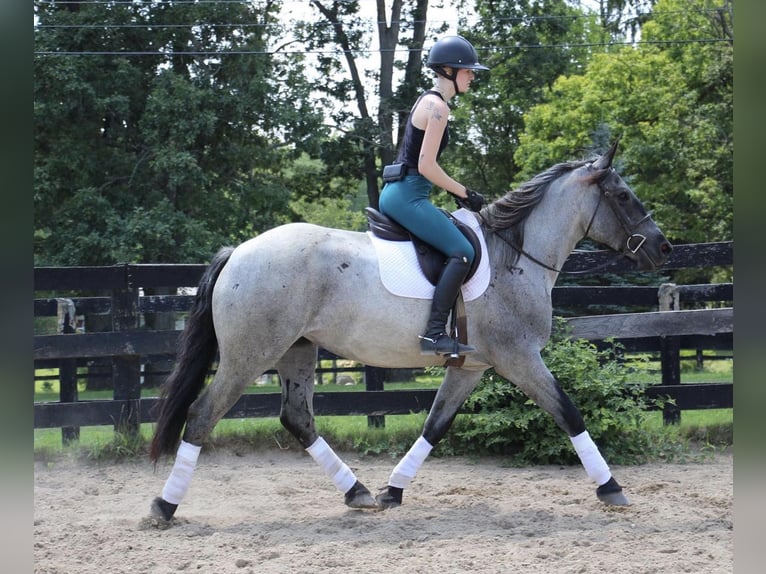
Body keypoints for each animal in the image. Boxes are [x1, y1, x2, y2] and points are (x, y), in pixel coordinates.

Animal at [148, 141, 672, 528]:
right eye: (623, 196)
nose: (664, 248)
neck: (515, 257)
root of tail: (238, 251)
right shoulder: (520, 358)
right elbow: (569, 412)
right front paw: (611, 488)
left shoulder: (472, 365)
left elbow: (435, 425)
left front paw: (392, 491)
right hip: (250, 355)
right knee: (203, 416)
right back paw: (164, 506)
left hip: (297, 350)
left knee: (297, 419)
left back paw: (358, 493)